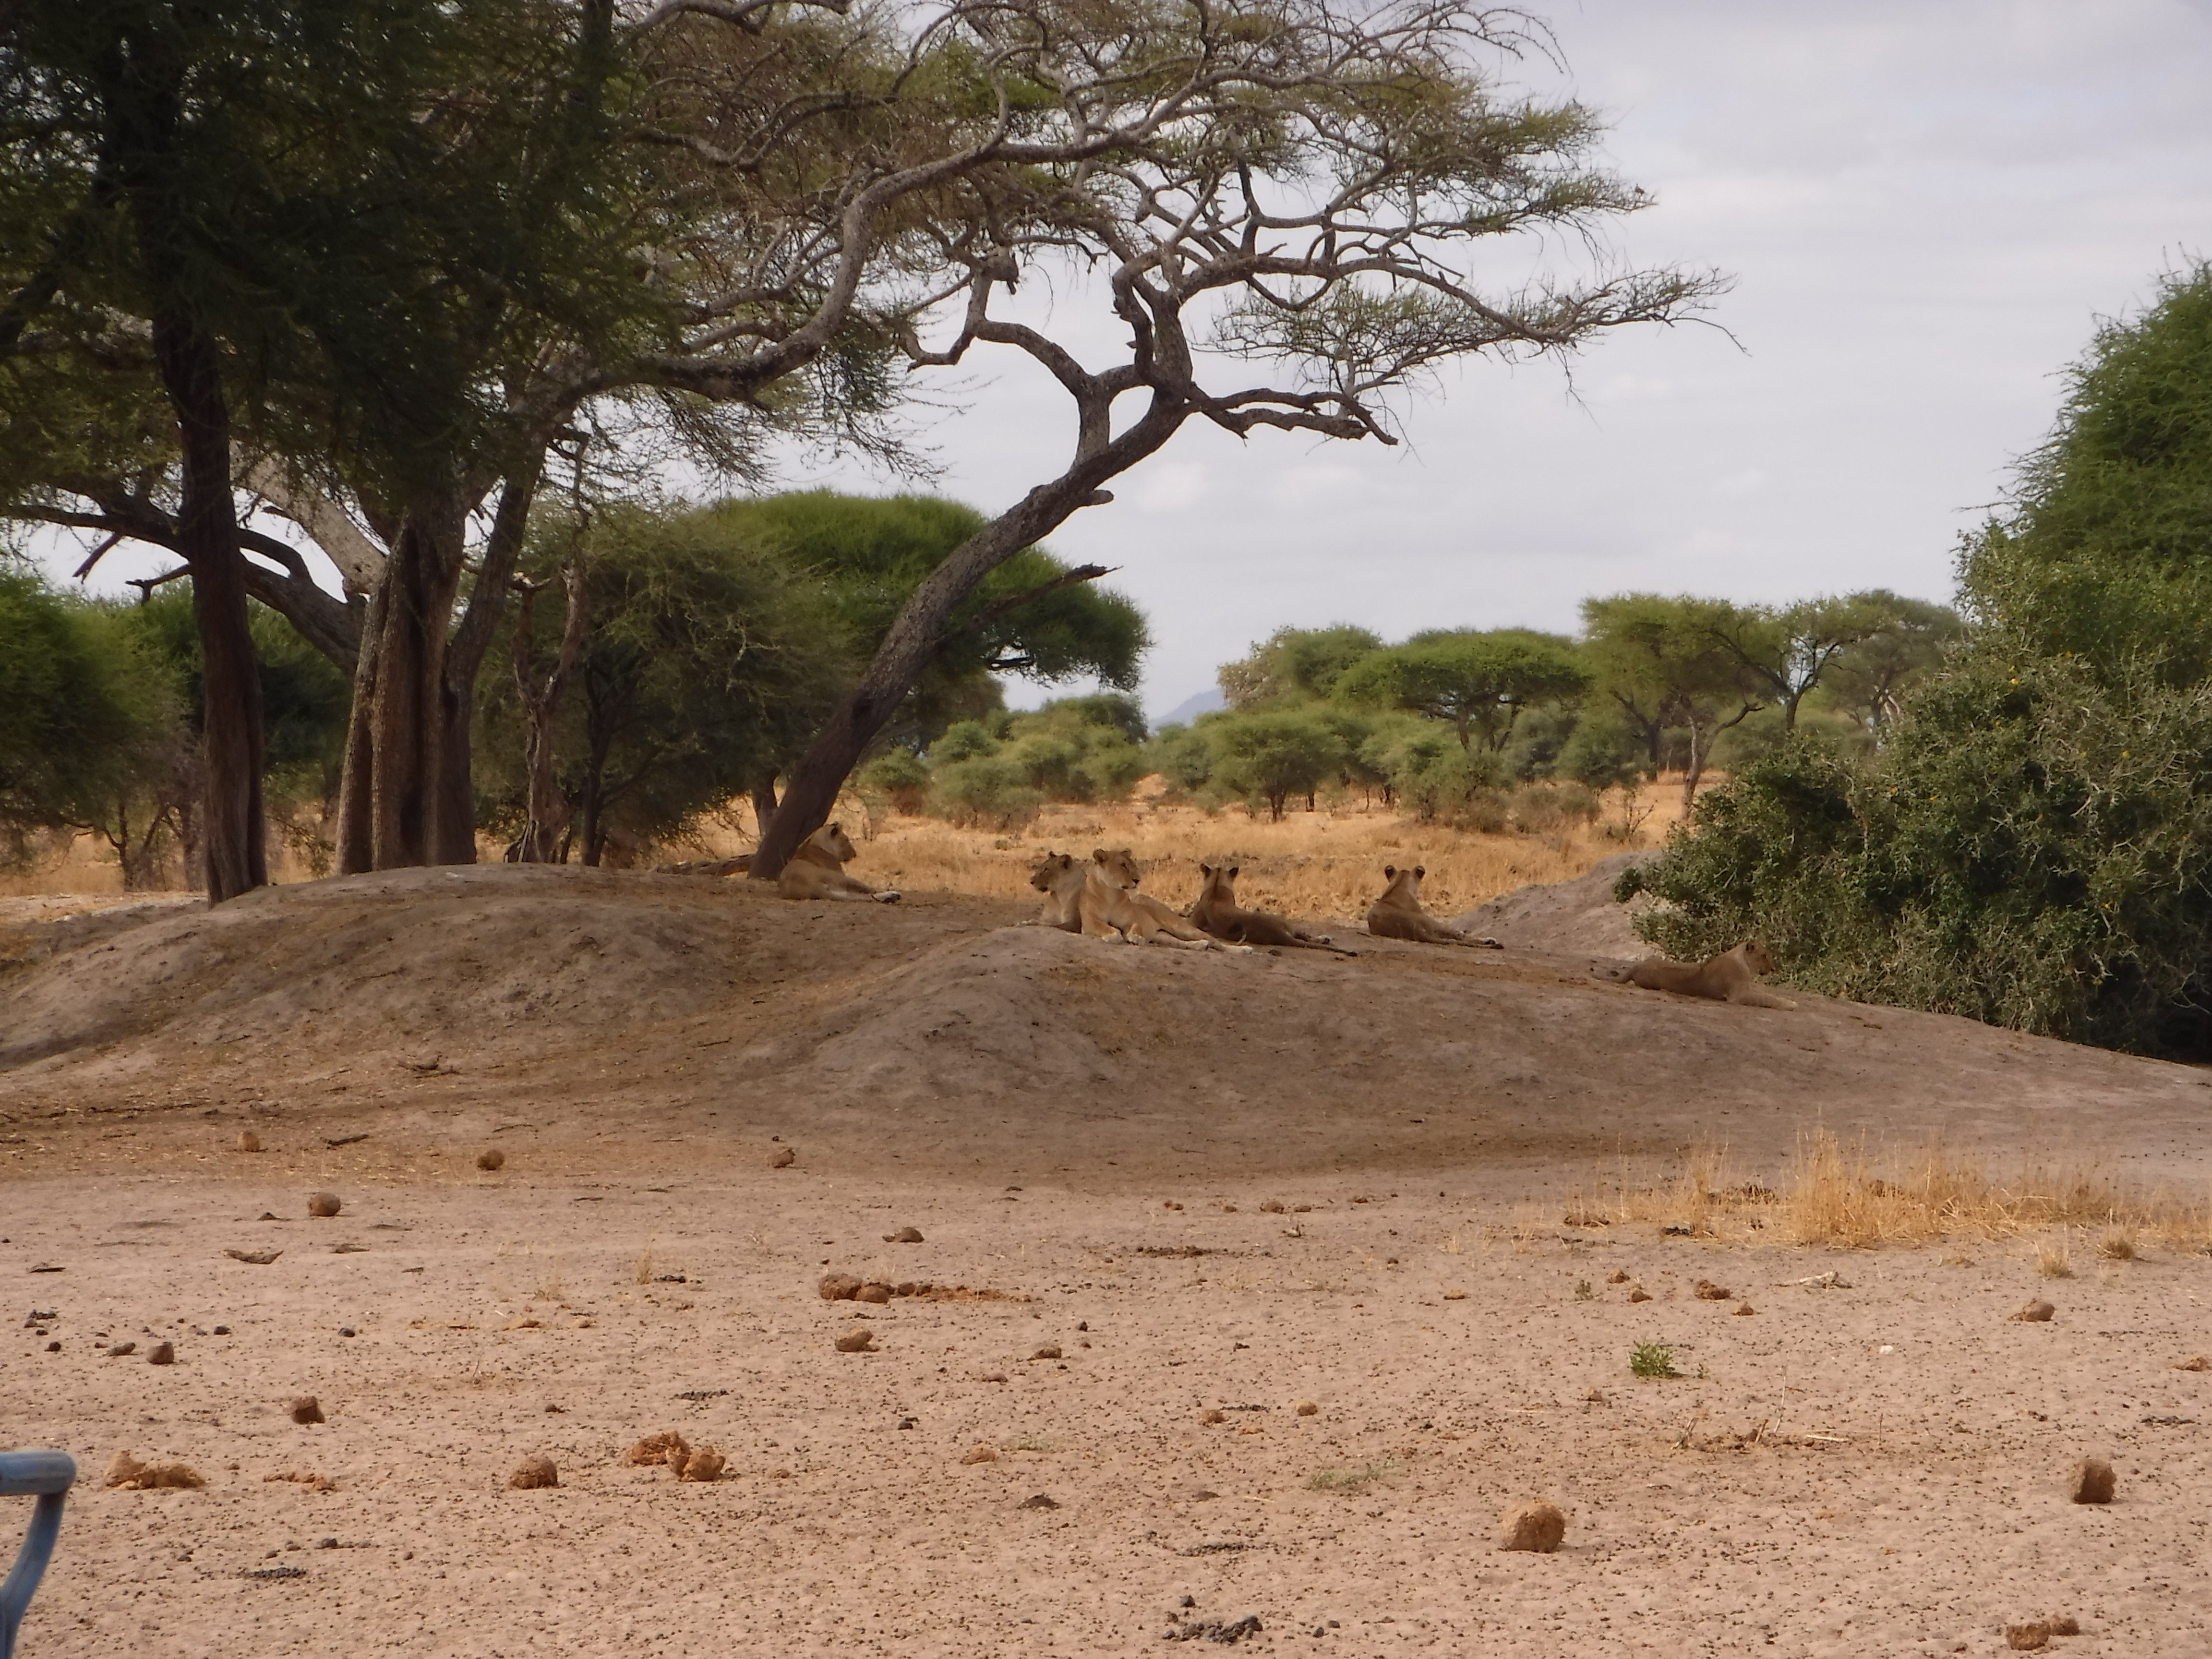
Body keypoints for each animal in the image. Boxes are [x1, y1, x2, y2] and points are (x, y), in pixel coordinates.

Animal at [776, 822, 900, 903]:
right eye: (846, 840)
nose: (855, 854)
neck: (816, 843)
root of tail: (811, 887)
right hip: (841, 878)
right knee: (870, 891)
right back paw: (893, 894)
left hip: (839, 890)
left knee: (859, 896)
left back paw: (891, 897)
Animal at [1027, 850, 1087, 932]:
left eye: (1046, 870)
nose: (1031, 881)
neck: (1059, 895)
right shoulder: (1047, 918)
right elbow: (1041, 922)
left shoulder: (1074, 924)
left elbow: (1051, 926)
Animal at [1079, 848, 1250, 951]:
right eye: (1123, 865)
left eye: (1133, 865)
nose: (1137, 880)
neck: (1112, 894)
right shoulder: (1088, 921)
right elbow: (1101, 925)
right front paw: (1113, 935)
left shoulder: (1133, 920)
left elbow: (1136, 927)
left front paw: (1136, 938)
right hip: (1162, 936)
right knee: (1180, 942)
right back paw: (1200, 945)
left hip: (1181, 927)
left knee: (1216, 941)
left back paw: (1242, 950)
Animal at [1623, 940, 1797, 1009]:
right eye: (1764, 956)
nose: (1773, 969)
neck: (1742, 961)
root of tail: (1638, 966)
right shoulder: (1738, 996)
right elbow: (1768, 999)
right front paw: (1792, 1004)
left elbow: (1768, 995)